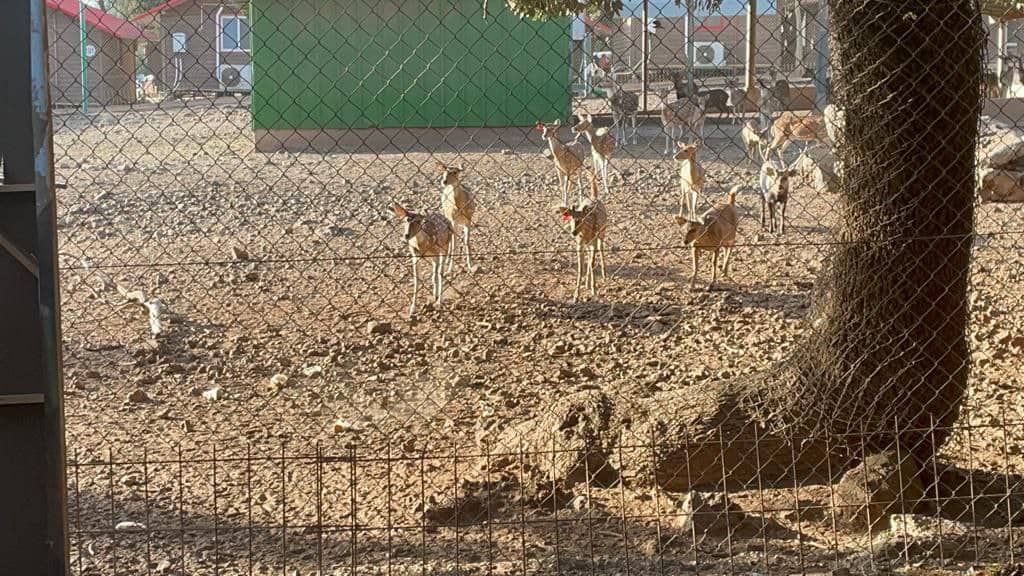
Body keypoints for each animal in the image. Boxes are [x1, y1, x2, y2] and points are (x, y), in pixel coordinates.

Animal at [561, 168, 606, 301]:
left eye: (582, 219)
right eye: (570, 219)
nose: (573, 232)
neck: (586, 234)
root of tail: (594, 196)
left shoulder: (593, 241)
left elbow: (592, 263)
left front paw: (594, 290)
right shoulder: (579, 245)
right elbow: (581, 266)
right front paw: (576, 295)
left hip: (603, 232)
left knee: (601, 249)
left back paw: (604, 274)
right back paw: (587, 283)